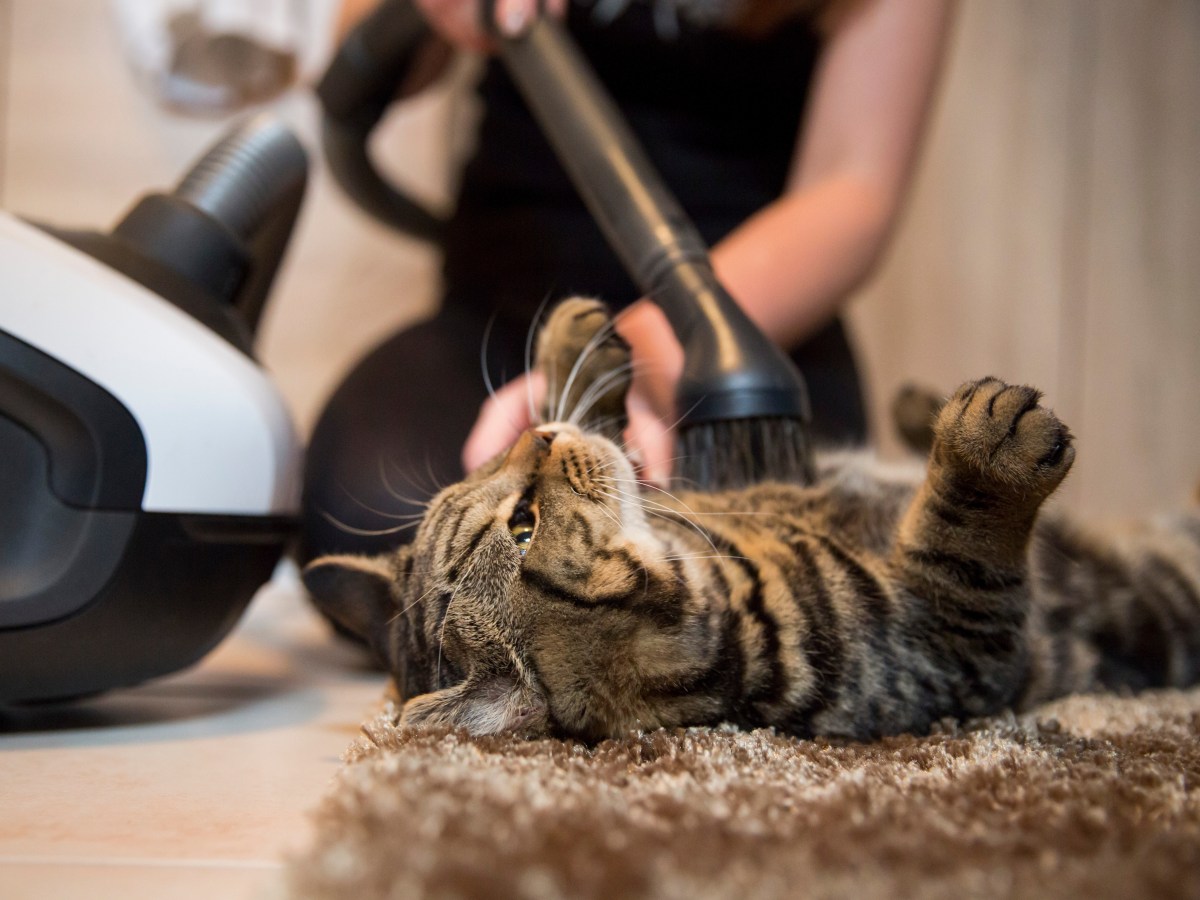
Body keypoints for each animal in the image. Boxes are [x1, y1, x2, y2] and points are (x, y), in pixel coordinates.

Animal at [304, 300, 1200, 744]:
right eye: (522, 525)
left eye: (488, 474)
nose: (539, 436)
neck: (713, 566)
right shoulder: (960, 645)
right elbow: (962, 542)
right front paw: (984, 453)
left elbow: (623, 438)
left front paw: (574, 349)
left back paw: (915, 405)